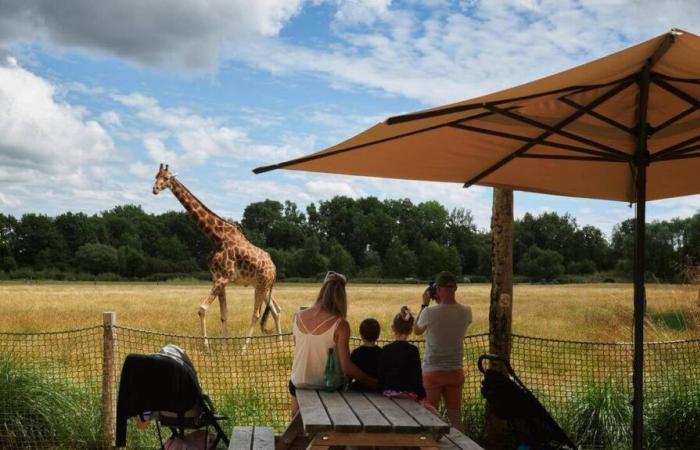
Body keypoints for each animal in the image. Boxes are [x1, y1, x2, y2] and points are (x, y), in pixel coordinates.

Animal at [153, 163, 282, 350]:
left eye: (167, 177)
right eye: (155, 176)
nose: (155, 189)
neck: (216, 237)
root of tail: (274, 267)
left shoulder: (223, 278)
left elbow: (202, 309)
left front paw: (207, 347)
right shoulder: (217, 278)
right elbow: (224, 313)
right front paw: (224, 347)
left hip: (262, 285)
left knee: (257, 314)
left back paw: (244, 349)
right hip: (263, 286)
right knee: (275, 310)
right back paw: (280, 344)